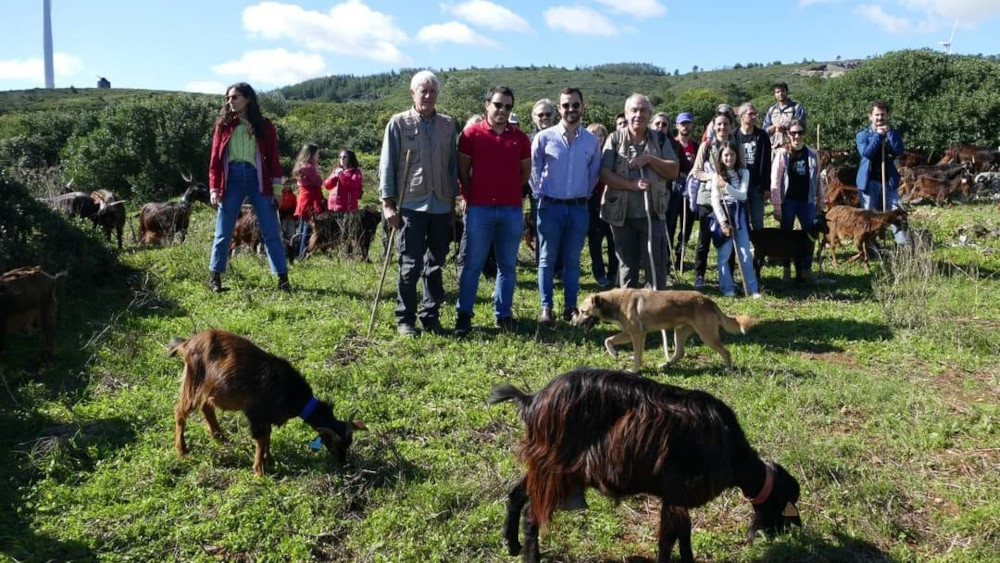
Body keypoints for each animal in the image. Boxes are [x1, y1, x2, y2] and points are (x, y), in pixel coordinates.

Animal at [492, 370, 804, 563]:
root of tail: (532, 400)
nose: (793, 530)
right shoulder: (678, 492)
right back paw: (530, 556)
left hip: (546, 465)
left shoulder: (674, 496)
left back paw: (512, 545)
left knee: (516, 494)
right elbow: (672, 537)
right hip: (557, 469)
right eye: (786, 503)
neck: (731, 450)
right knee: (532, 513)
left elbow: (678, 536)